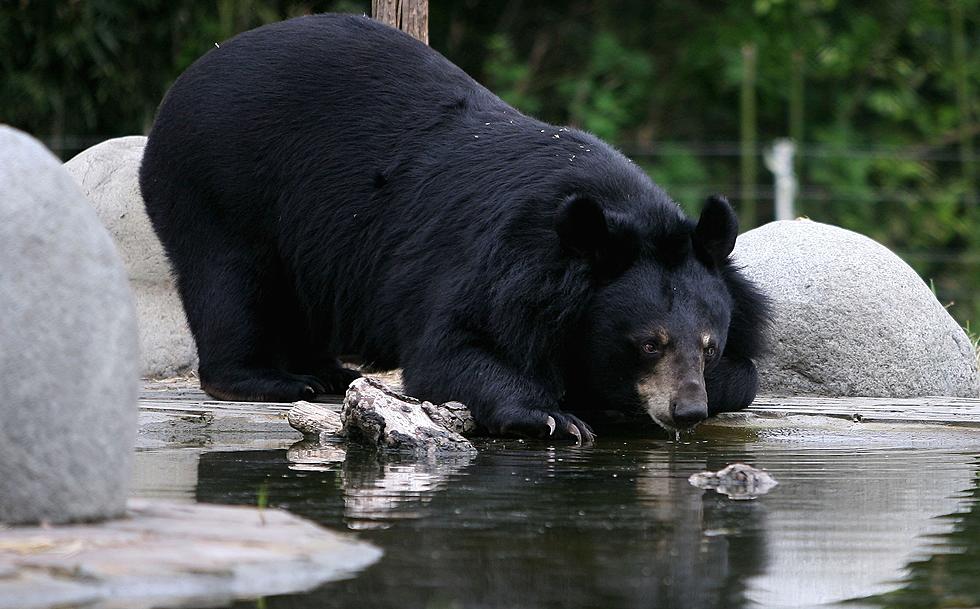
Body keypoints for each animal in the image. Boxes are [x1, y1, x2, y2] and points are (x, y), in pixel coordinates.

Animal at [140, 13, 764, 442]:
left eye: (708, 346)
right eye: (649, 344)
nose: (686, 410)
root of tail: (185, 81)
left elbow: (749, 373)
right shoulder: (494, 264)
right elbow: (451, 350)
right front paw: (554, 416)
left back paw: (327, 371)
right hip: (219, 184)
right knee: (230, 281)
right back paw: (276, 380)